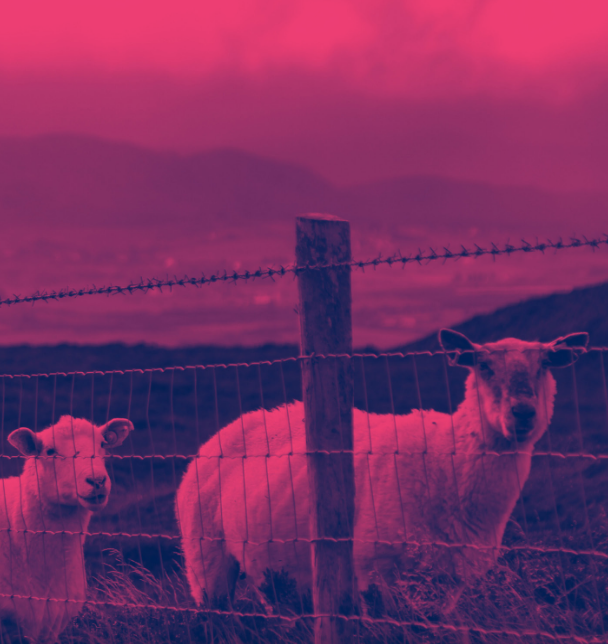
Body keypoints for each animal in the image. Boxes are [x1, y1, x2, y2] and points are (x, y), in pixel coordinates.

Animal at [176, 328, 588, 612]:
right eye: (483, 366)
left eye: (545, 365)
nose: (523, 413)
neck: (447, 463)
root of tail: (218, 435)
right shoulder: (374, 570)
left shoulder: (450, 581)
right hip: (205, 558)